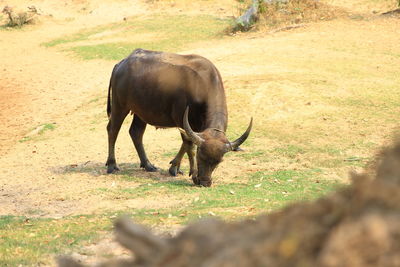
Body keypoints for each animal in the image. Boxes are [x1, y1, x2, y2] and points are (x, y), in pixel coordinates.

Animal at [104, 48, 252, 186]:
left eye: (219, 161)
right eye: (200, 156)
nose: (205, 182)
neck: (202, 84)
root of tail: (121, 64)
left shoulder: (194, 126)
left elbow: (186, 144)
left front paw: (175, 166)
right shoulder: (182, 119)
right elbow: (189, 146)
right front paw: (192, 174)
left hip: (141, 112)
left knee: (136, 132)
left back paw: (148, 165)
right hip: (120, 106)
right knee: (113, 130)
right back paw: (112, 164)